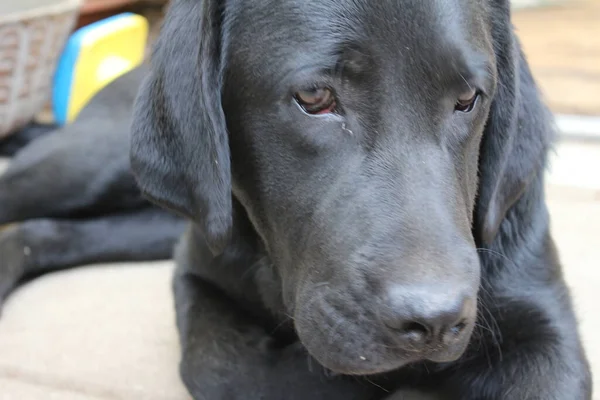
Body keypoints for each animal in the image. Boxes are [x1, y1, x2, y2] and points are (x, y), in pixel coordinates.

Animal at [0, 0, 592, 398]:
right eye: (314, 97)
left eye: (469, 98)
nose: (436, 321)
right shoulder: (196, 274)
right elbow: (228, 370)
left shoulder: (545, 330)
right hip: (95, 165)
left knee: (50, 230)